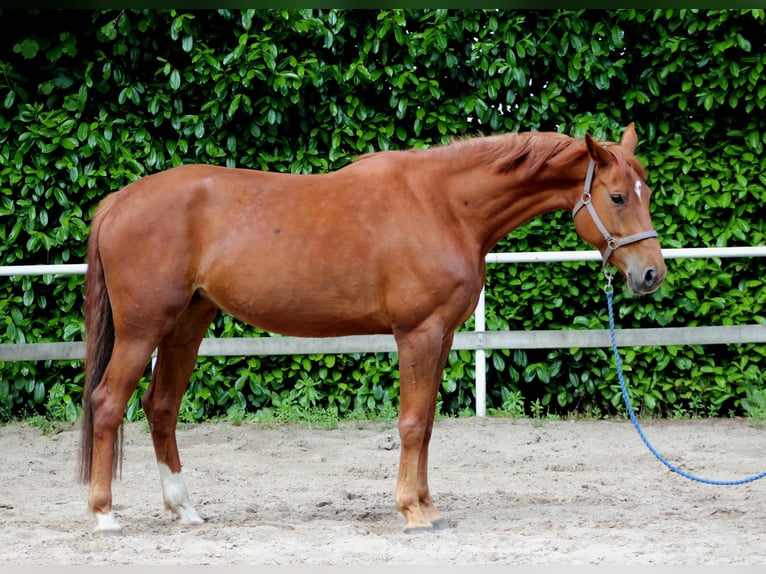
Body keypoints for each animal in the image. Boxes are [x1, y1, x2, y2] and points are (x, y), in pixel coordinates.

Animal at [78, 123, 666, 533]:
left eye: (647, 192)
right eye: (617, 196)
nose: (650, 274)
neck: (445, 206)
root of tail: (119, 201)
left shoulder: (443, 335)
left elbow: (426, 424)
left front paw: (427, 505)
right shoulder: (418, 333)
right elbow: (411, 423)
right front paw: (413, 513)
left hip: (186, 324)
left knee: (161, 407)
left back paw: (185, 510)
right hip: (143, 329)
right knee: (108, 402)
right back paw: (105, 515)